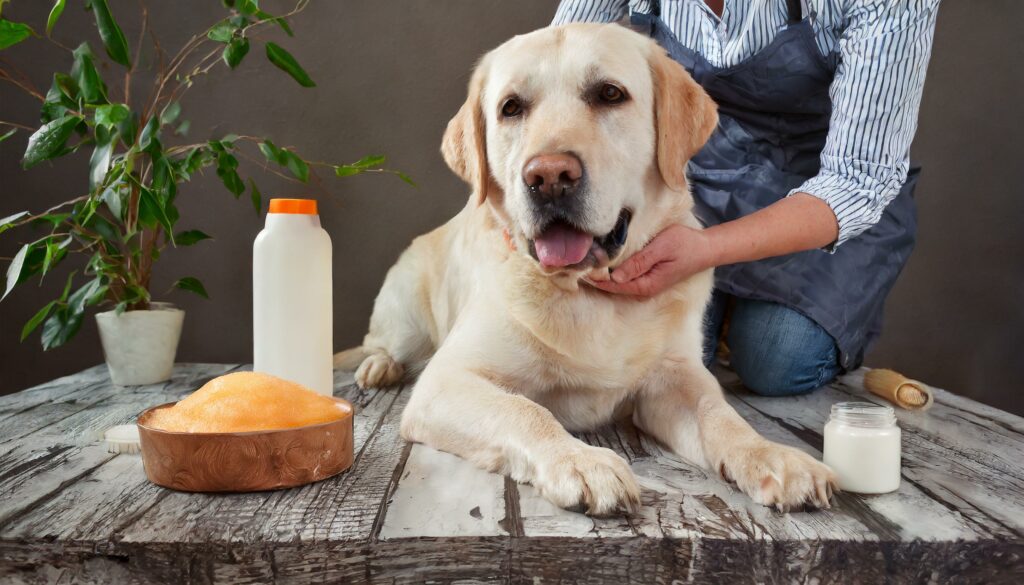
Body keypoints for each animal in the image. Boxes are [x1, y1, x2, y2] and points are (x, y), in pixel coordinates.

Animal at [339, 22, 835, 514]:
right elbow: (527, 409)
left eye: (610, 94)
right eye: (511, 108)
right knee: (380, 343)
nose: (548, 177)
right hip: (406, 316)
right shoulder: (445, 382)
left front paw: (773, 456)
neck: (586, 291)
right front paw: (581, 461)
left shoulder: (677, 379)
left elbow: (721, 415)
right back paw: (379, 367)